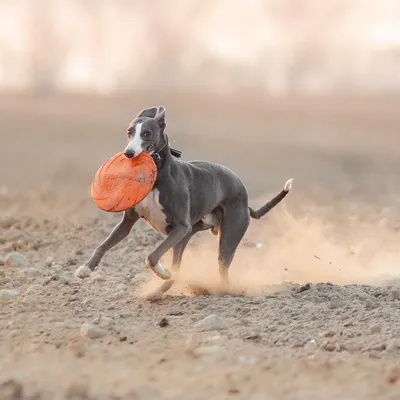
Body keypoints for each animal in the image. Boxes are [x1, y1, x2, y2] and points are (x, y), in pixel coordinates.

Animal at [76, 106, 294, 300]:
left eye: (147, 133)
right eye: (129, 132)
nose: (128, 153)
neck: (157, 177)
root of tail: (245, 198)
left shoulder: (181, 226)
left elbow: (152, 257)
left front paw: (162, 272)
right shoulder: (128, 222)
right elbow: (103, 245)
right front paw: (85, 269)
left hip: (224, 238)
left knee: (218, 269)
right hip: (185, 238)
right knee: (179, 270)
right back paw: (157, 293)